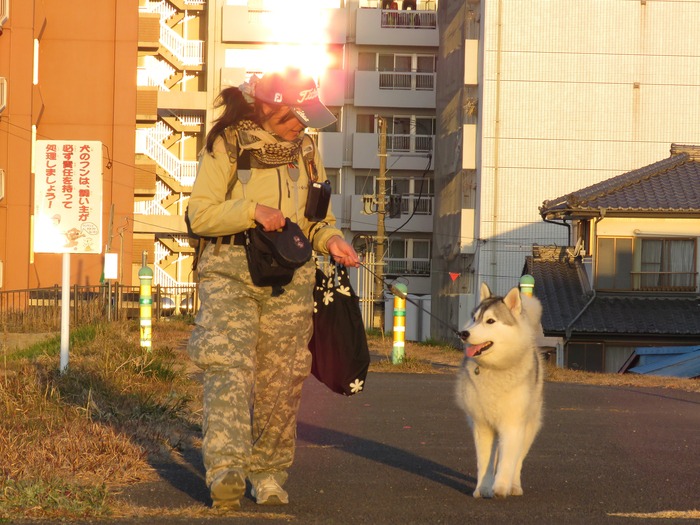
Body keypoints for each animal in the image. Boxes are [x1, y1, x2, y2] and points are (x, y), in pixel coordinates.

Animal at [456, 280, 544, 498]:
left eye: (490, 321)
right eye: (474, 319)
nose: (463, 333)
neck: (494, 369)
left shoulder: (512, 425)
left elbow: (507, 461)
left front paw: (501, 486)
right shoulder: (482, 426)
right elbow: (485, 462)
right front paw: (482, 488)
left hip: (528, 427)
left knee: (518, 459)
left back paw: (514, 485)